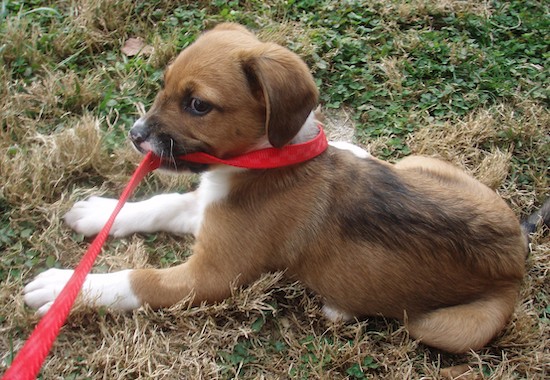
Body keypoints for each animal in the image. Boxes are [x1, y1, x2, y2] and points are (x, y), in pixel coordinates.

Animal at [23, 22, 536, 352]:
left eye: (197, 104)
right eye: (163, 84)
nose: (134, 135)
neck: (269, 161)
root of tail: (517, 251)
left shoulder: (213, 275)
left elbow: (138, 279)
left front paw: (65, 289)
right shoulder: (207, 210)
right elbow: (158, 204)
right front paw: (99, 213)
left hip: (454, 328)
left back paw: (339, 309)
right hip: (418, 163)